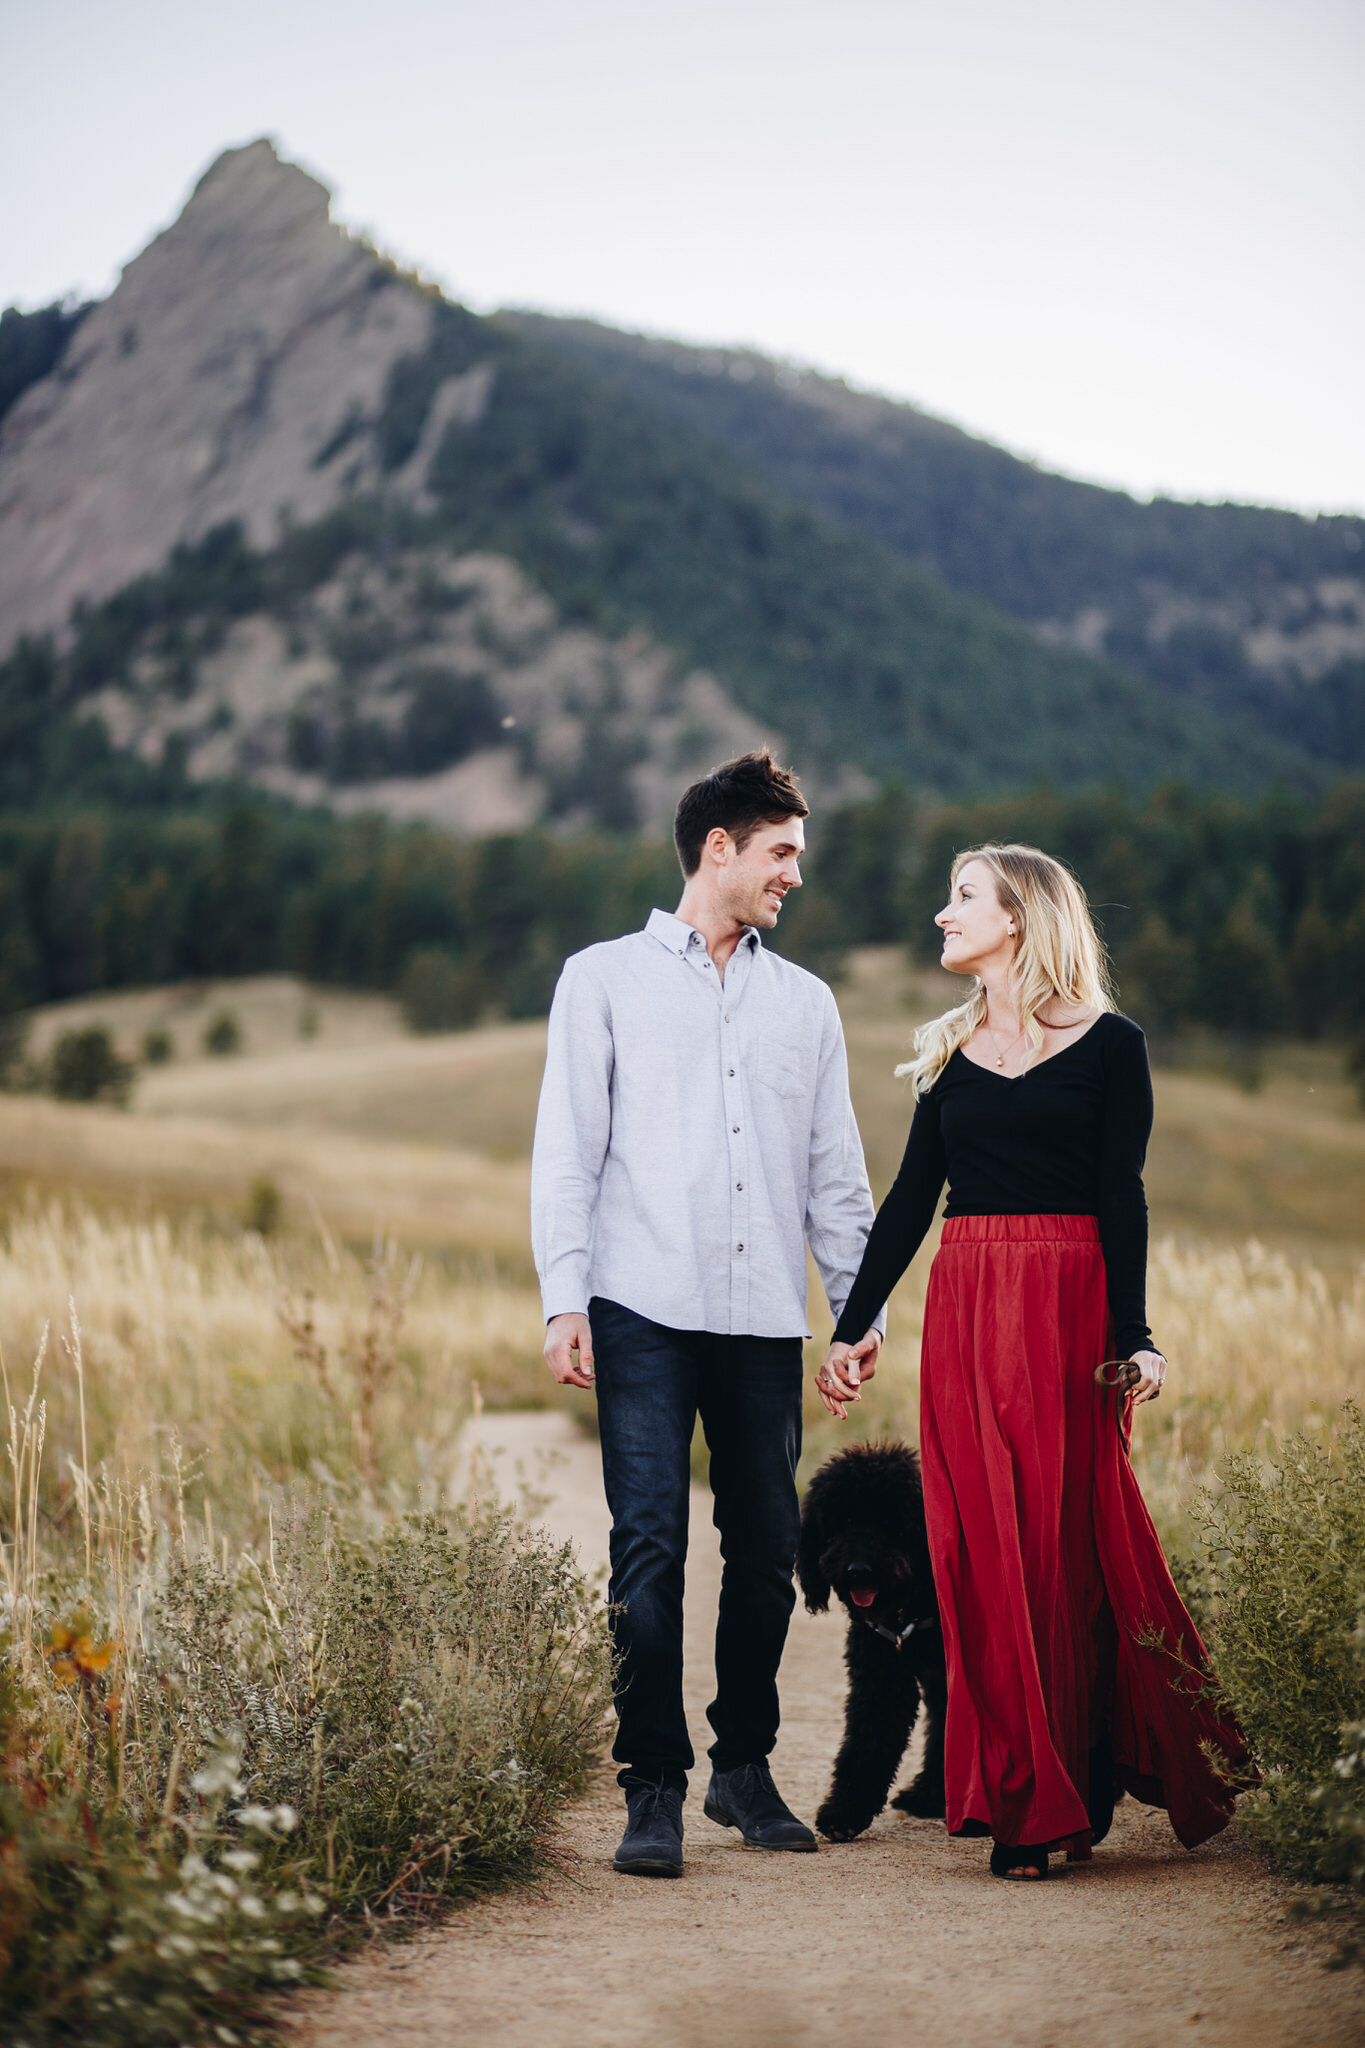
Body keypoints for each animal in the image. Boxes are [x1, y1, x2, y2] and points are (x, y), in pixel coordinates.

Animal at [802, 1441, 949, 1843]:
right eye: (842, 1522)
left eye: (890, 1523)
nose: (858, 1571)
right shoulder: (882, 1676)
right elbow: (867, 1743)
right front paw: (844, 1812)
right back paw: (928, 1795)